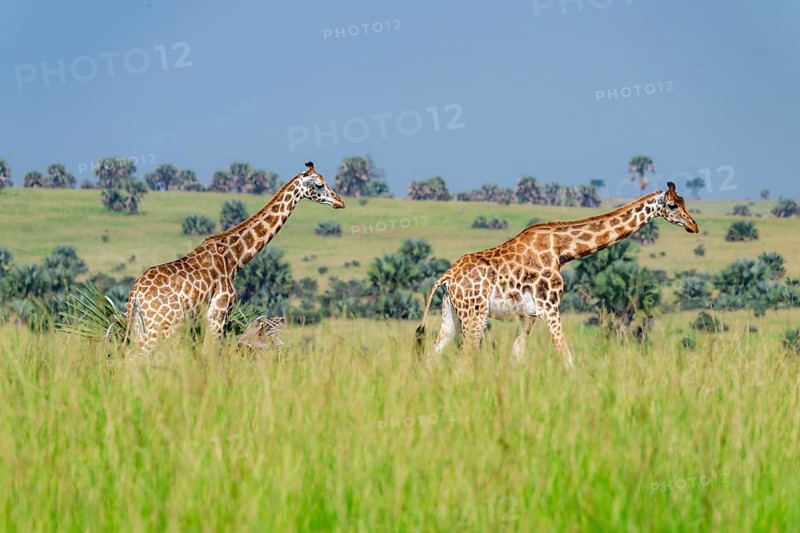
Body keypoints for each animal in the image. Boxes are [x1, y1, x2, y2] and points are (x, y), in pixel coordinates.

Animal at [125, 161, 344, 349]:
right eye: (319, 184)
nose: (340, 201)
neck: (233, 259)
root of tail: (135, 293)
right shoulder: (218, 313)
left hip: (140, 324)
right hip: (162, 326)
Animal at [415, 182, 698, 367]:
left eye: (685, 202)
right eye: (672, 205)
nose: (693, 226)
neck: (562, 250)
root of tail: (448, 277)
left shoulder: (528, 315)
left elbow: (516, 358)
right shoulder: (549, 306)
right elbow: (566, 356)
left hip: (452, 315)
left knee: (433, 354)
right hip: (475, 314)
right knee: (464, 357)